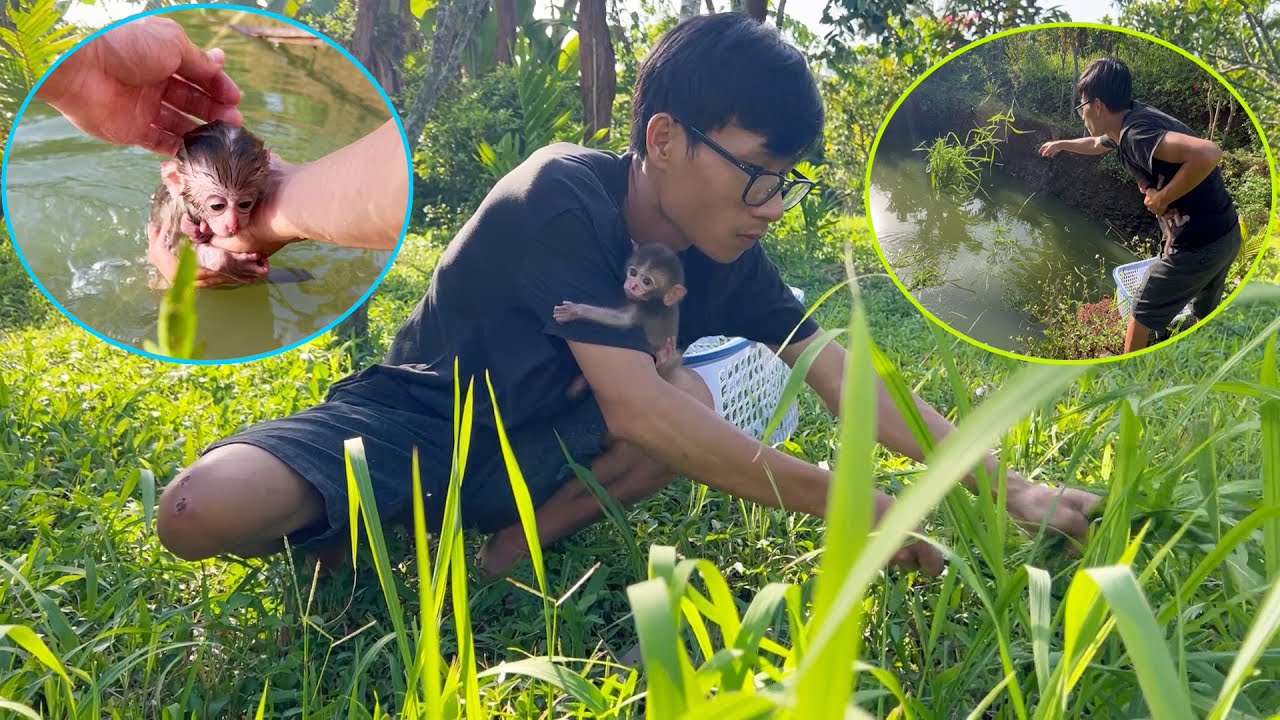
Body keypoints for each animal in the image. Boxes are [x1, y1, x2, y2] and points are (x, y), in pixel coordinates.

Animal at [147, 120, 274, 285]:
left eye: (245, 204)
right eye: (217, 206)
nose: (233, 224)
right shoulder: (178, 212)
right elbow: (179, 249)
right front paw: (233, 264)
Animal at [553, 242, 688, 395]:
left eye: (647, 281)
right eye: (633, 273)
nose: (633, 285)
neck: (657, 299)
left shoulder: (648, 308)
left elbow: (623, 320)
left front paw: (574, 311)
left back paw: (663, 359)